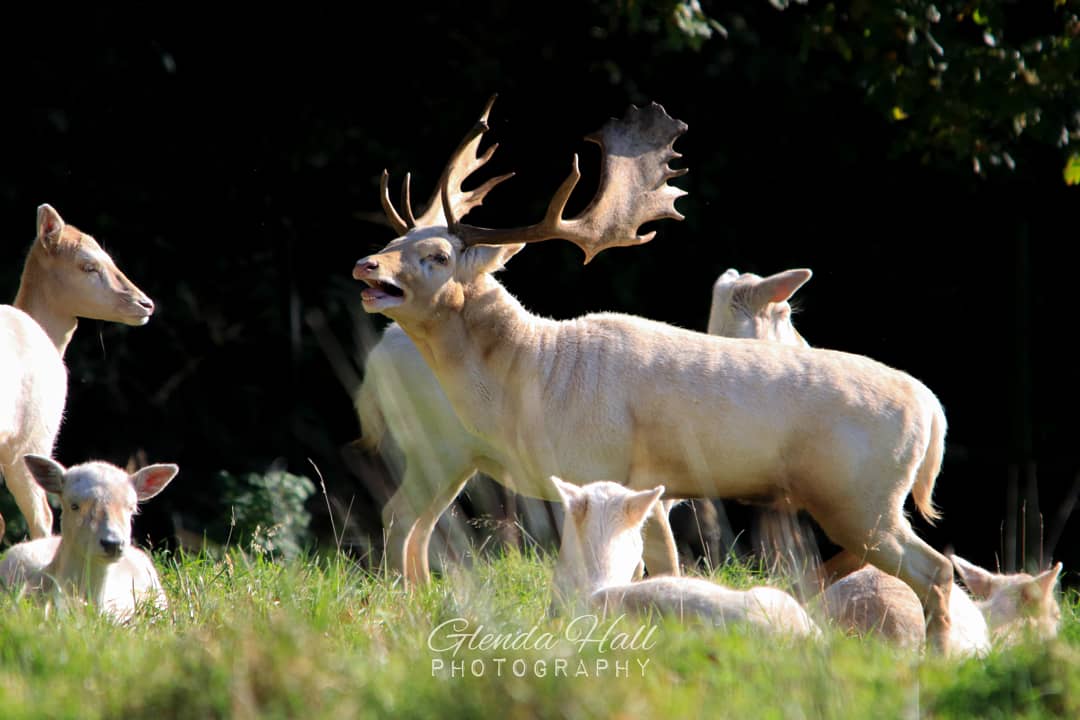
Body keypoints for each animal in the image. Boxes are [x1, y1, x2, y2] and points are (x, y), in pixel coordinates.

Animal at [357, 266, 813, 585]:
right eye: (786, 312)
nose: (809, 350)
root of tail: (373, 363)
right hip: (434, 448)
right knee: (399, 514)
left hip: (451, 460)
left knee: (425, 525)